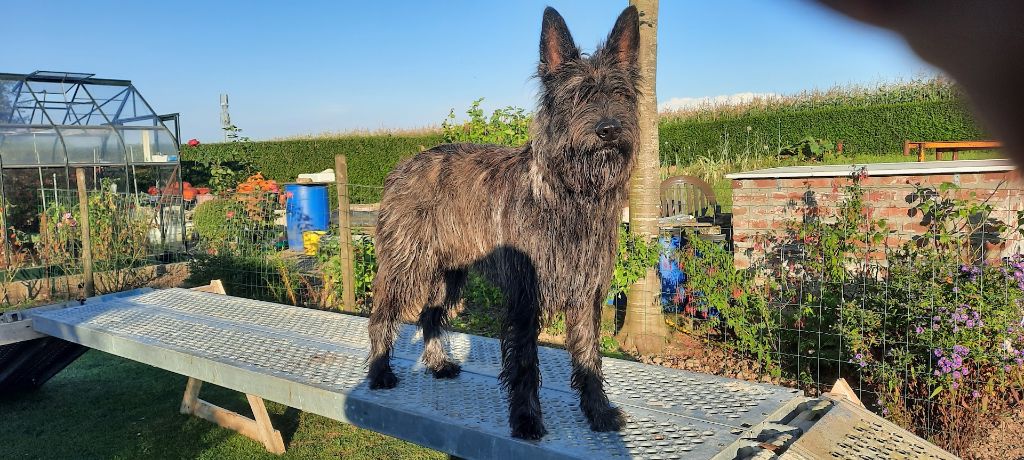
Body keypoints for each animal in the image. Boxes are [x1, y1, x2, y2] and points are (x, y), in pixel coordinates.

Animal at [368, 5, 638, 438]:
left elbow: (588, 356)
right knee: (382, 315)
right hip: (406, 266)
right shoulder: (526, 296)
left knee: (430, 315)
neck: (570, 195)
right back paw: (379, 372)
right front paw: (526, 419)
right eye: (577, 96)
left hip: (449, 274)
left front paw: (597, 411)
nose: (609, 129)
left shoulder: (585, 292)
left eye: (620, 93)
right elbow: (525, 362)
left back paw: (438, 364)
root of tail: (404, 164)